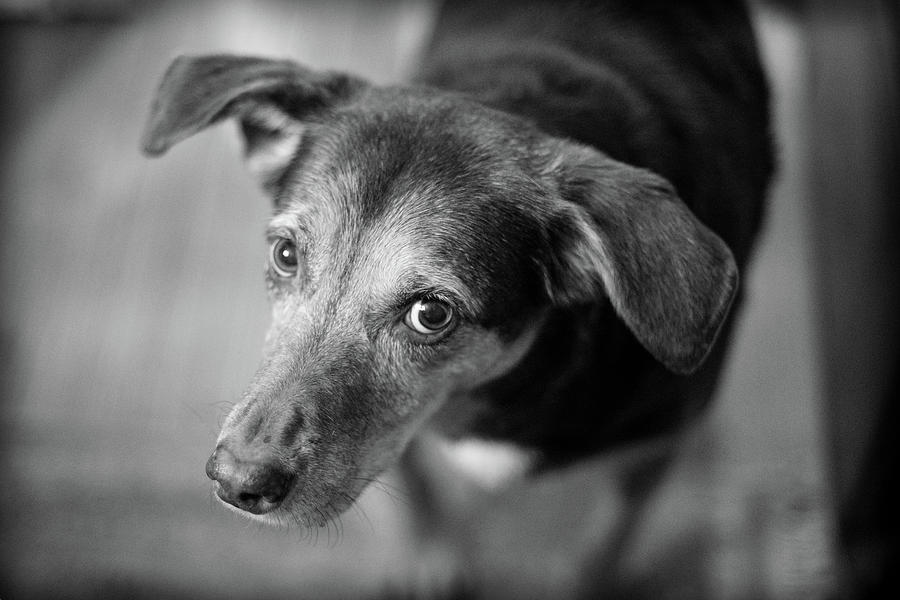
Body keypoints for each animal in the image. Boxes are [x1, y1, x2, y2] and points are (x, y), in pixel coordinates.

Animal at [141, 0, 772, 596]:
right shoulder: (405, 426)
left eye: (431, 314)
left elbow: (602, 546)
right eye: (287, 254)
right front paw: (429, 560)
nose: (236, 481)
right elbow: (418, 480)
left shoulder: (648, 454)